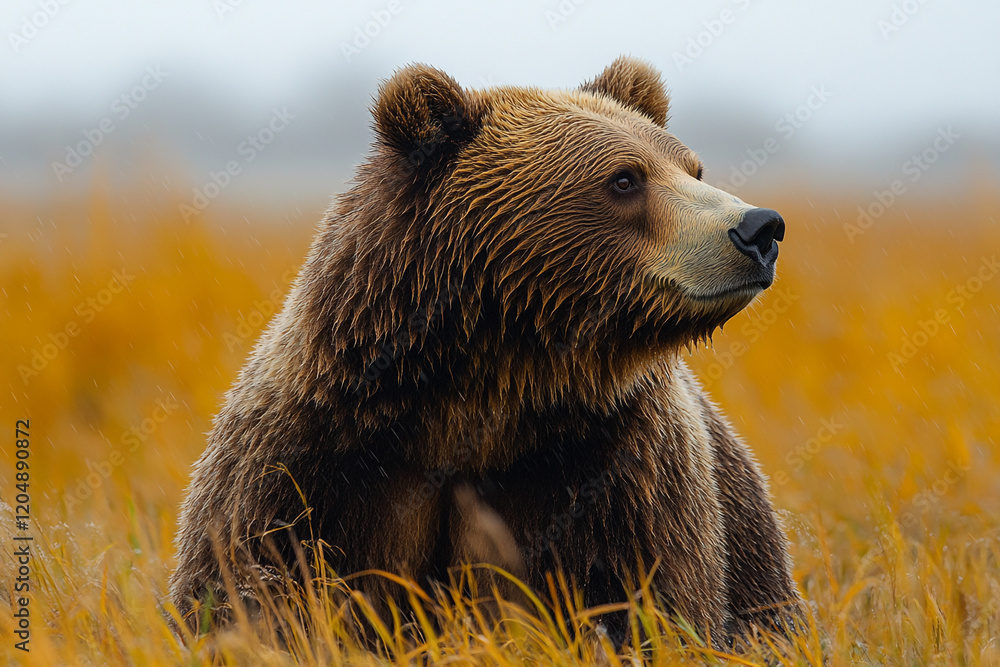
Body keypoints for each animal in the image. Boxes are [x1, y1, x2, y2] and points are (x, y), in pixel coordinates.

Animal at [168, 56, 801, 644]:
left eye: (693, 167)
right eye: (625, 178)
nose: (759, 228)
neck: (488, 389)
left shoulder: (620, 465)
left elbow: (652, 600)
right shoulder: (307, 456)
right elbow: (249, 590)